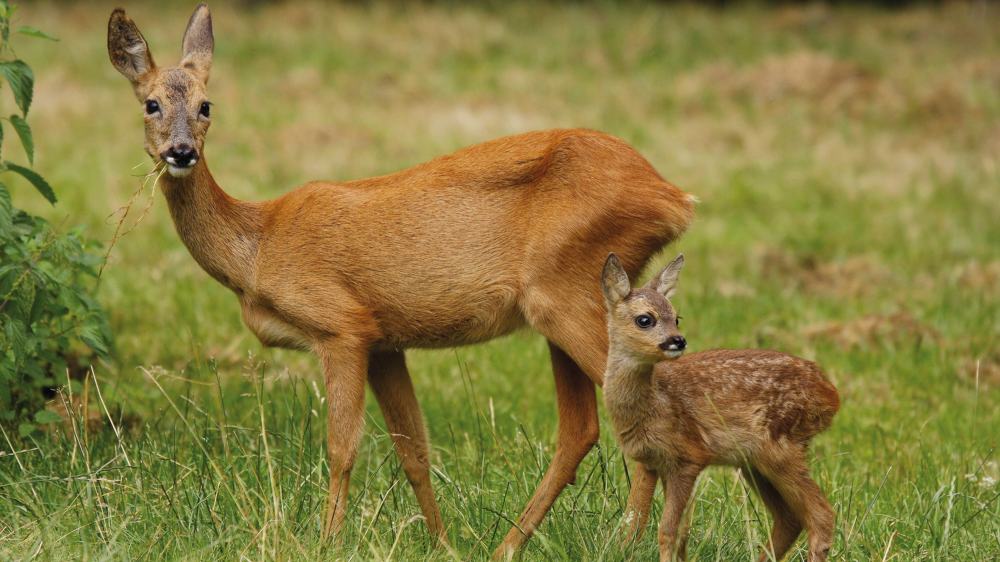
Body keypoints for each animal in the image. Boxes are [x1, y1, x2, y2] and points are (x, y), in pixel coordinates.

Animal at [107, 4, 695, 557]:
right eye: (151, 104)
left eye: (207, 106)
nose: (181, 152)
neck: (257, 247)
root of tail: (672, 196)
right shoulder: (385, 341)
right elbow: (413, 450)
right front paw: (442, 543)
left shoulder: (340, 324)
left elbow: (342, 447)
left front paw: (326, 542)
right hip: (571, 300)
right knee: (580, 429)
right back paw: (509, 546)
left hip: (564, 290)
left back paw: (622, 543)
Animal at [600, 253, 840, 562]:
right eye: (645, 319)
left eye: (676, 317)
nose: (678, 340)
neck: (654, 402)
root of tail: (830, 395)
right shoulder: (657, 462)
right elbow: (678, 532)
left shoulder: (689, 456)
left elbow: (667, 531)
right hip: (753, 462)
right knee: (790, 518)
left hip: (780, 445)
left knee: (821, 516)